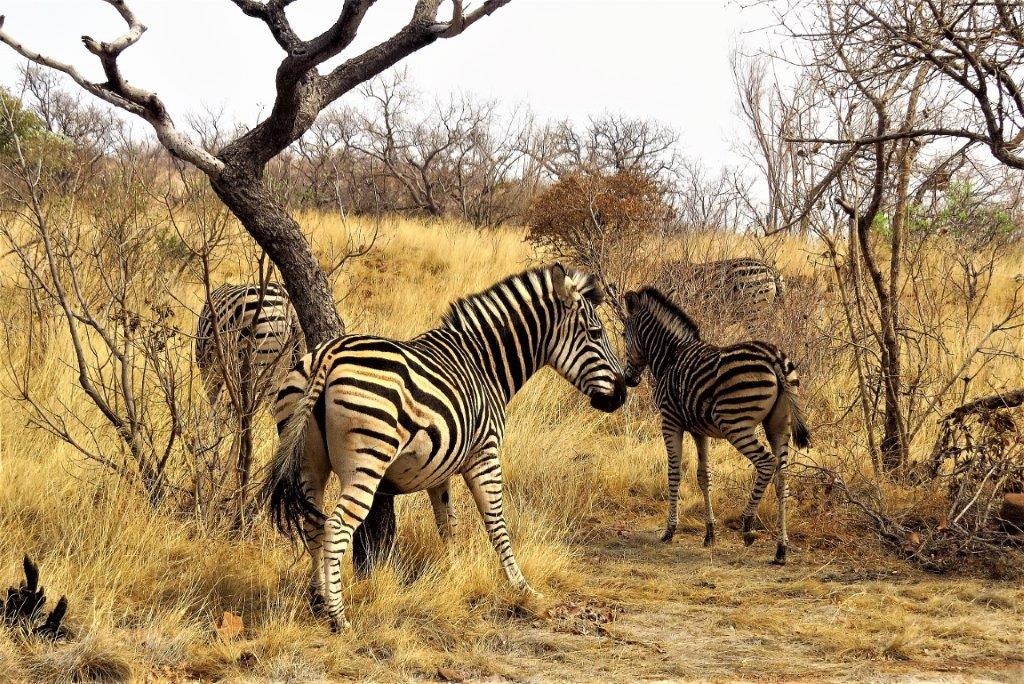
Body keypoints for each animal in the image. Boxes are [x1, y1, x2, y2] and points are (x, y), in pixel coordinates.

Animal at [261, 264, 627, 630]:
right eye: (596, 333)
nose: (623, 393)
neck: (484, 364)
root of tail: (328, 355)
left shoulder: (439, 468)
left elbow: (447, 524)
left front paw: (454, 574)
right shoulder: (484, 453)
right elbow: (496, 521)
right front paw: (520, 586)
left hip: (308, 461)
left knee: (313, 524)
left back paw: (318, 601)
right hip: (366, 463)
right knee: (335, 527)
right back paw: (339, 618)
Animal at [621, 287, 809, 564]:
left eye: (624, 335)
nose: (628, 379)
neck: (670, 357)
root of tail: (773, 357)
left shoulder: (670, 421)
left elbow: (674, 473)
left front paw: (669, 530)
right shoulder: (700, 430)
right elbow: (704, 476)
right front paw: (710, 533)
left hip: (735, 423)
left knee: (766, 463)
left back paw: (747, 526)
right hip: (778, 425)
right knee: (782, 476)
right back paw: (781, 549)